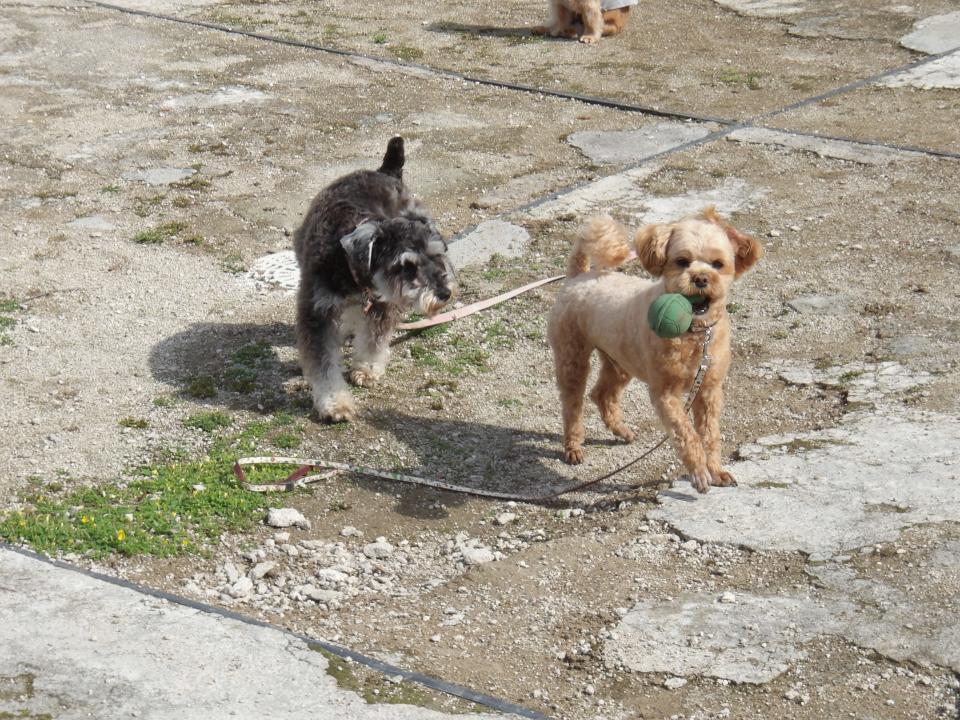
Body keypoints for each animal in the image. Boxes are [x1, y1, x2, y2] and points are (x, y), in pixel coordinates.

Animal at [293, 137, 457, 422]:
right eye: (406, 266)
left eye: (438, 254)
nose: (444, 293)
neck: (348, 264)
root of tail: (385, 171)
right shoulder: (316, 311)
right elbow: (323, 363)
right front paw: (334, 403)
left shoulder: (383, 303)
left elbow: (374, 339)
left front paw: (367, 369)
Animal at [547, 207, 763, 492]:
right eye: (682, 261)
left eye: (718, 264)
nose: (701, 279)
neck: (694, 335)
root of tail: (579, 274)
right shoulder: (665, 394)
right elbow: (686, 433)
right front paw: (699, 471)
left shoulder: (709, 391)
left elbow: (710, 434)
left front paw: (716, 470)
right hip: (572, 357)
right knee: (573, 404)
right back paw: (573, 447)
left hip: (619, 360)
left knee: (602, 394)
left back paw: (621, 430)